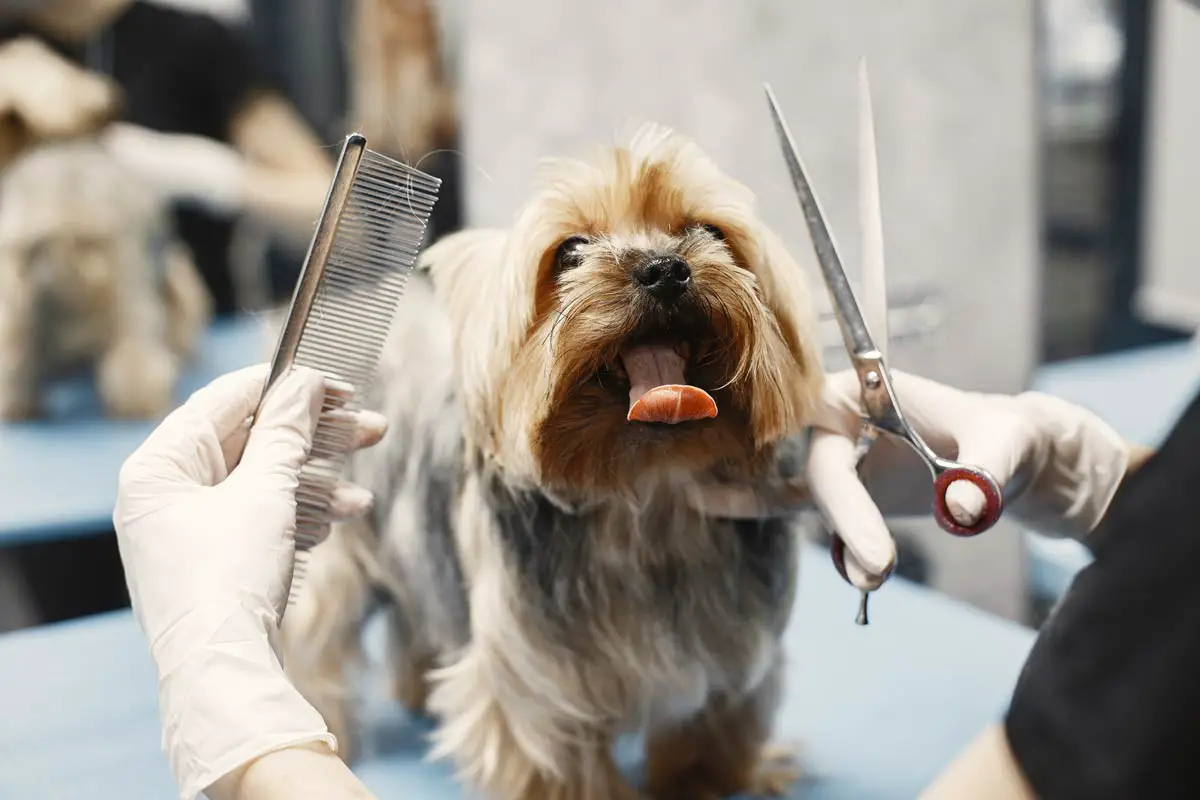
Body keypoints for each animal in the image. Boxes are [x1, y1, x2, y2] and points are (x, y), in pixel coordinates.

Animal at [282, 125, 825, 800]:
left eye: (709, 232)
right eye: (570, 251)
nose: (665, 269)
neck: (646, 493)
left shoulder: (735, 658)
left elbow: (711, 738)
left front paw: (714, 783)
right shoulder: (536, 685)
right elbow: (558, 762)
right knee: (315, 634)